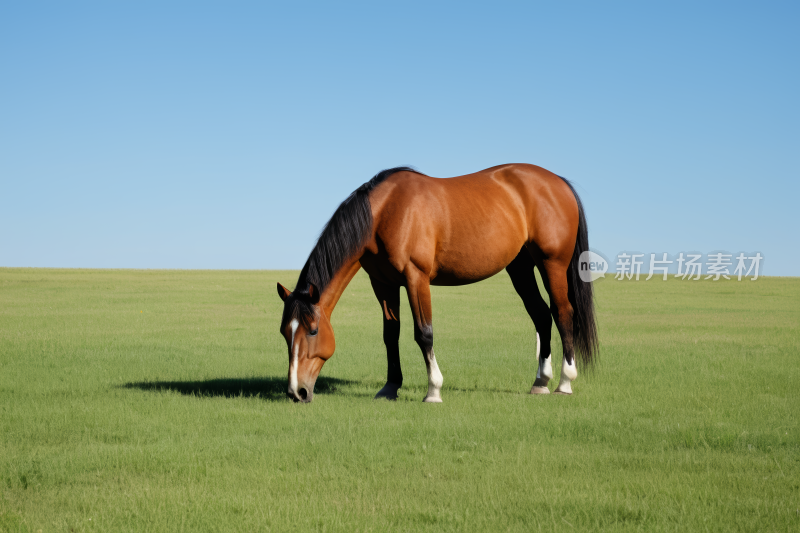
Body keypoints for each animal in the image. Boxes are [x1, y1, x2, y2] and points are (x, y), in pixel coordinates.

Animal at [278, 164, 596, 402]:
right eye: (284, 332)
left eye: (313, 331)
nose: (296, 392)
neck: (385, 212)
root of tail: (558, 182)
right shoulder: (383, 283)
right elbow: (390, 335)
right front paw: (390, 387)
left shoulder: (415, 277)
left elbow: (424, 333)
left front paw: (433, 389)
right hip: (520, 268)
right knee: (541, 315)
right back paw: (540, 381)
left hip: (552, 264)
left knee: (562, 313)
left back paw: (565, 382)